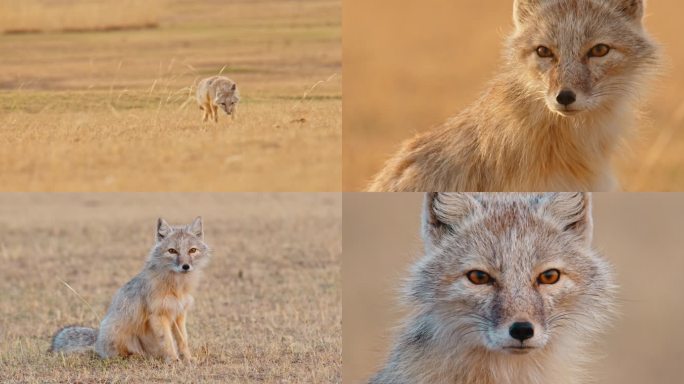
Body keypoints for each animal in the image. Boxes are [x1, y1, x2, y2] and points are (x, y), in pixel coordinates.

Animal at [50, 216, 210, 364]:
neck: (176, 287)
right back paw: (136, 357)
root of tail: (98, 340)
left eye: (192, 250)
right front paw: (174, 361)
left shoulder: (179, 314)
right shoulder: (158, 315)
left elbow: (183, 341)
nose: (185, 266)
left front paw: (188, 359)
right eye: (172, 251)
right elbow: (167, 341)